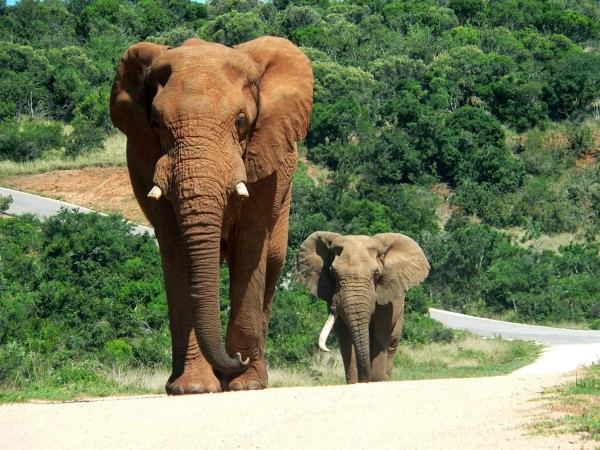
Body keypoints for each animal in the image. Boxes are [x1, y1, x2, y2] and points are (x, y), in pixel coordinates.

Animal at [109, 37, 314, 394]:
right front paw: (193, 388)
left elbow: (249, 247)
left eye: (241, 122)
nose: (237, 359)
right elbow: (176, 254)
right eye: (156, 125)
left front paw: (245, 385)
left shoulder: (265, 164)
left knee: (272, 262)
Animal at [294, 232, 426, 384]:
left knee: (391, 345)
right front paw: (355, 383)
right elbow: (345, 338)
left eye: (376, 273)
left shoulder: (386, 301)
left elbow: (380, 336)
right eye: (333, 273)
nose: (365, 380)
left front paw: (376, 381)